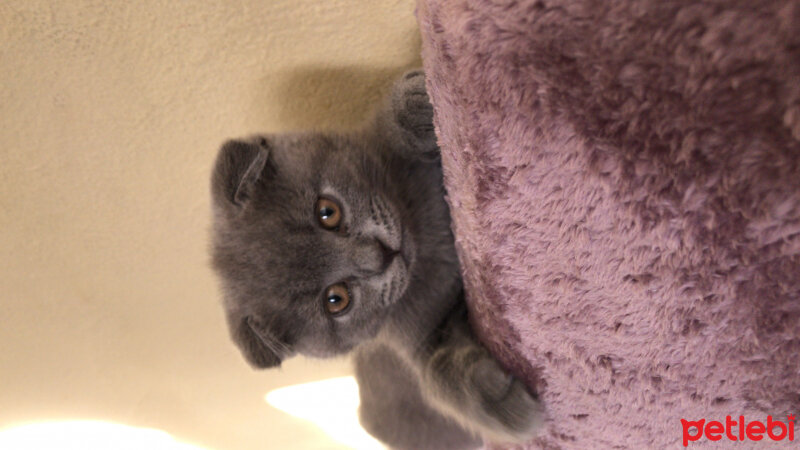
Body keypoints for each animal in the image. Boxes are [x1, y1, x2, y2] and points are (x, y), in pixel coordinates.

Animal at [209, 70, 544, 450]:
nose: (380, 255)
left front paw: (416, 104)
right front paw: (502, 402)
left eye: (327, 212)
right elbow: (437, 371)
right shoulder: (420, 332)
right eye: (335, 299)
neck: (424, 242)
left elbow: (384, 129)